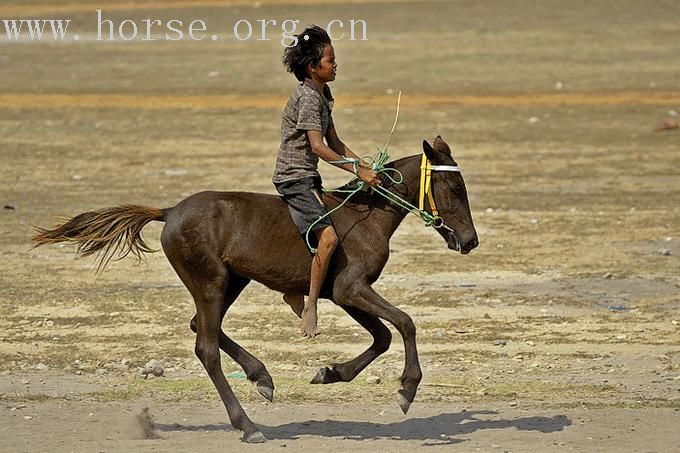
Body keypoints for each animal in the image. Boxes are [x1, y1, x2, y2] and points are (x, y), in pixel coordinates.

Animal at [31, 137, 478, 442]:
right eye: (454, 189)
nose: (470, 241)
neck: (367, 214)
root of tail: (170, 212)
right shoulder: (351, 289)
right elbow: (405, 323)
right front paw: (407, 389)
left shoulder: (344, 293)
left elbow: (383, 336)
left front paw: (330, 372)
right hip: (211, 283)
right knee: (206, 347)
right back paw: (247, 425)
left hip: (231, 282)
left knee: (200, 328)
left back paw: (261, 377)